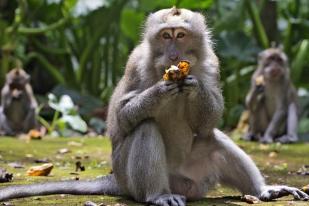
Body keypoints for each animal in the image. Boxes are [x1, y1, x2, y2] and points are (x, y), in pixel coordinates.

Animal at [0, 7, 308, 206]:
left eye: (180, 35)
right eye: (165, 36)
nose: (173, 54)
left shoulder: (212, 63)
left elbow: (208, 123)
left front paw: (194, 86)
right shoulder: (136, 62)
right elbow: (122, 117)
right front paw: (161, 90)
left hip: (196, 176)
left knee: (213, 139)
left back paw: (265, 190)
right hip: (130, 177)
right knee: (145, 128)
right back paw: (158, 195)